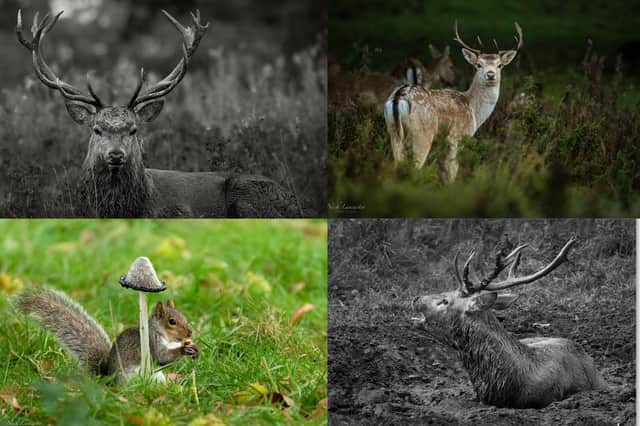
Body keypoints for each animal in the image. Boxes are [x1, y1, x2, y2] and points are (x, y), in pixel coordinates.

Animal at [15, 286, 200, 382]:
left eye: (183, 316)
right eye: (172, 321)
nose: (190, 332)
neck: (166, 338)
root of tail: (107, 380)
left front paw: (193, 348)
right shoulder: (151, 344)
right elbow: (162, 357)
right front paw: (184, 350)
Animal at [16, 9, 298, 218]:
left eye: (133, 130)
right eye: (97, 129)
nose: (116, 154)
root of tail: (294, 200)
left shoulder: (181, 212)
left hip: (251, 198)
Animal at [384, 22, 524, 181]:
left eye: (500, 65)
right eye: (479, 64)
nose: (490, 74)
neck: (474, 110)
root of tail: (399, 96)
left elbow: (443, 170)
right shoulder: (456, 136)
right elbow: (452, 170)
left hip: (393, 131)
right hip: (423, 132)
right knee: (415, 167)